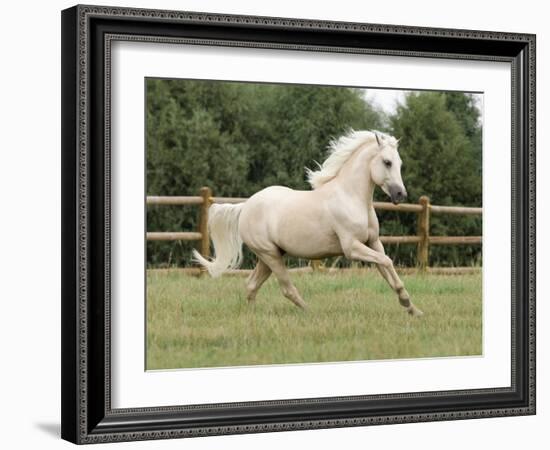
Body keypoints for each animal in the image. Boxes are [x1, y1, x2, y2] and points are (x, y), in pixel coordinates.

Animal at [195, 130, 426, 316]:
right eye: (387, 162)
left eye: (400, 164)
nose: (401, 194)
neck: (351, 197)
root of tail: (245, 206)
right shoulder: (352, 247)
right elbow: (386, 262)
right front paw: (407, 304)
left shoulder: (373, 243)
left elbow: (387, 268)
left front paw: (413, 309)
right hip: (270, 255)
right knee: (286, 288)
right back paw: (310, 311)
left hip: (269, 256)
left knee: (251, 285)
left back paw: (252, 316)